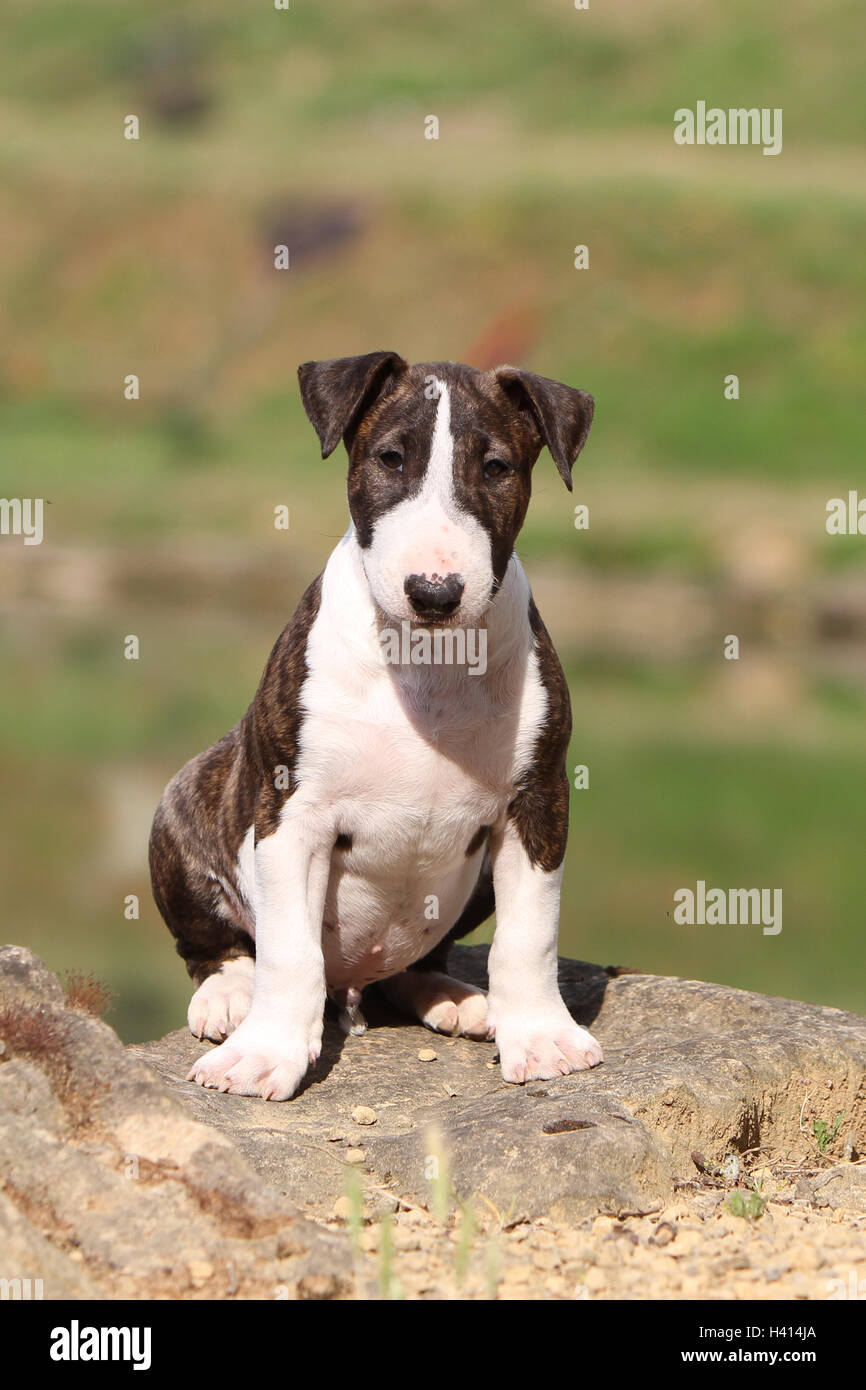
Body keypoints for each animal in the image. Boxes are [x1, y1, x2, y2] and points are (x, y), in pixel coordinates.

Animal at [150, 353, 603, 1100]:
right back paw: (229, 996)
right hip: (183, 800)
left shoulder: (538, 802)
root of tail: (354, 988)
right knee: (218, 945)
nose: (435, 592)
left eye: (497, 467)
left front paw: (541, 1037)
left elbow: (530, 935)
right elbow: (289, 952)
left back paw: (455, 998)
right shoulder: (291, 811)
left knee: (418, 963)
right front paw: (265, 1054)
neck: (427, 661)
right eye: (390, 458)